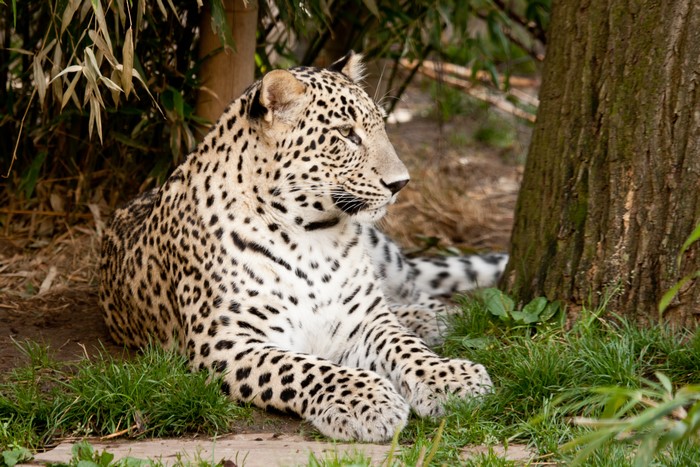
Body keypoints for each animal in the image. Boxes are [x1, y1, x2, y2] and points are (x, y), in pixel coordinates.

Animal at [99, 52, 506, 442]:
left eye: (381, 126)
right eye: (346, 134)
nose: (400, 183)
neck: (310, 239)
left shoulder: (365, 320)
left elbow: (404, 344)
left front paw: (450, 377)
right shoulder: (226, 342)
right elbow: (304, 368)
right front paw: (365, 401)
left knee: (411, 293)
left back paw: (430, 317)